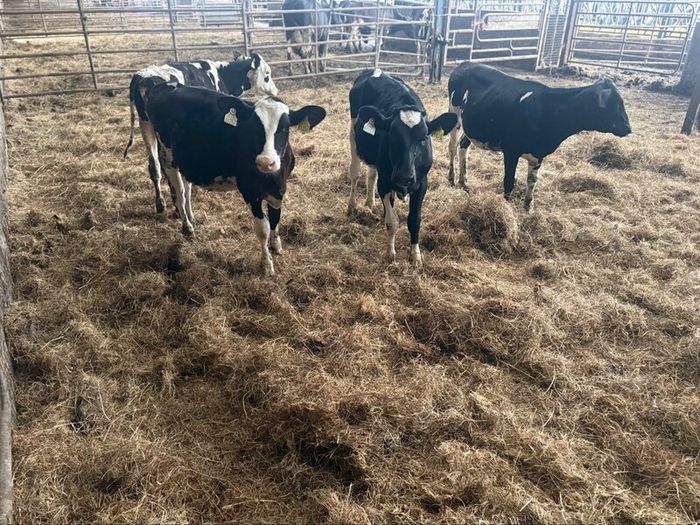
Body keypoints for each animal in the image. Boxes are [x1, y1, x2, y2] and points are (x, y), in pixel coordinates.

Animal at [123, 54, 278, 215]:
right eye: (267, 74)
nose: (275, 91)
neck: (221, 73)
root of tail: (142, 78)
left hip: (146, 126)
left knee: (154, 166)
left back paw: (161, 204)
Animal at [144, 83, 326, 276]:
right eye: (253, 127)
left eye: (285, 127)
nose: (266, 162)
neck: (271, 177)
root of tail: (165, 85)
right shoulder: (250, 192)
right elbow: (263, 229)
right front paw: (267, 264)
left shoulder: (279, 190)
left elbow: (275, 219)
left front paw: (276, 246)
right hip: (168, 158)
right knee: (179, 194)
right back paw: (187, 227)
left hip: (185, 160)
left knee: (186, 191)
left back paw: (192, 219)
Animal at [348, 69, 458, 268]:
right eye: (392, 136)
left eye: (423, 139)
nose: (404, 177)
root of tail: (374, 70)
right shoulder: (385, 182)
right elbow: (392, 221)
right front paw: (390, 254)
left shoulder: (422, 183)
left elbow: (414, 220)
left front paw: (415, 256)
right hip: (353, 134)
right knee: (355, 173)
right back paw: (352, 205)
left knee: (371, 174)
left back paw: (370, 202)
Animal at [447, 63, 632, 212]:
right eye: (615, 103)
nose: (628, 128)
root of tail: (466, 64)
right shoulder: (511, 150)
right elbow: (509, 181)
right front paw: (506, 208)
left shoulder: (538, 154)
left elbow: (532, 181)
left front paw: (528, 209)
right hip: (454, 115)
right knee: (453, 147)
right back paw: (451, 179)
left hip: (471, 127)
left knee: (464, 146)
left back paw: (464, 182)